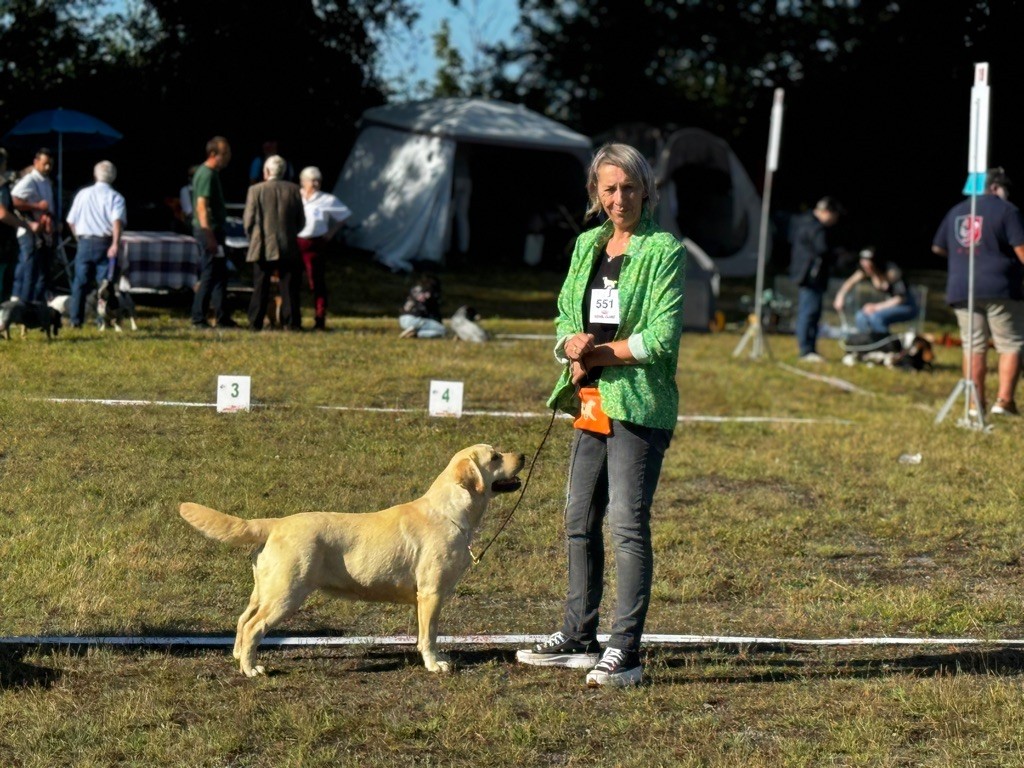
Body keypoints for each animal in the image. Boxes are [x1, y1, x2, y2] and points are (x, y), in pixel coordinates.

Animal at [179, 444, 524, 679]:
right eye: (495, 457)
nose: (522, 455)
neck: (450, 512)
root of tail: (274, 523)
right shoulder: (431, 592)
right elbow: (429, 635)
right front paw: (435, 663)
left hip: (264, 590)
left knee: (241, 620)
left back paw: (239, 658)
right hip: (286, 594)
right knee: (253, 627)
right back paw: (252, 669)